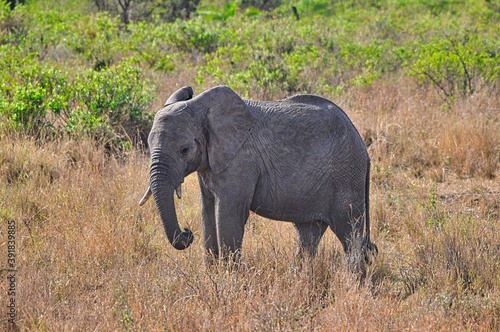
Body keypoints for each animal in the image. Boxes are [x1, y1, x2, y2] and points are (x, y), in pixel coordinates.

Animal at [139, 85, 376, 270]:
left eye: (185, 150)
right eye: (148, 145)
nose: (187, 233)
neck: (204, 109)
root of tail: (364, 148)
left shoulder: (241, 161)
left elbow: (228, 214)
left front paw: (229, 281)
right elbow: (207, 212)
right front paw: (212, 275)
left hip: (347, 176)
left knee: (349, 232)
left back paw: (353, 282)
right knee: (309, 233)